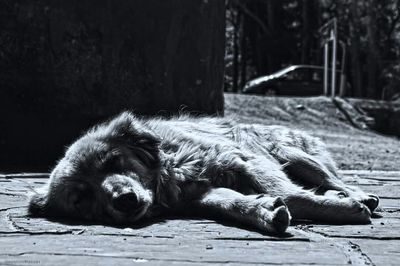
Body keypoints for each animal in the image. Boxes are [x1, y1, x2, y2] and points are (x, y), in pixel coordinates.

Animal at [28, 111, 378, 234]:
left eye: (113, 162)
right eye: (80, 198)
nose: (125, 200)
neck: (170, 171)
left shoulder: (246, 159)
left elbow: (289, 193)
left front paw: (345, 208)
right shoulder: (204, 194)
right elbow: (233, 203)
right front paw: (262, 210)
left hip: (292, 154)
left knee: (332, 178)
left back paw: (358, 196)